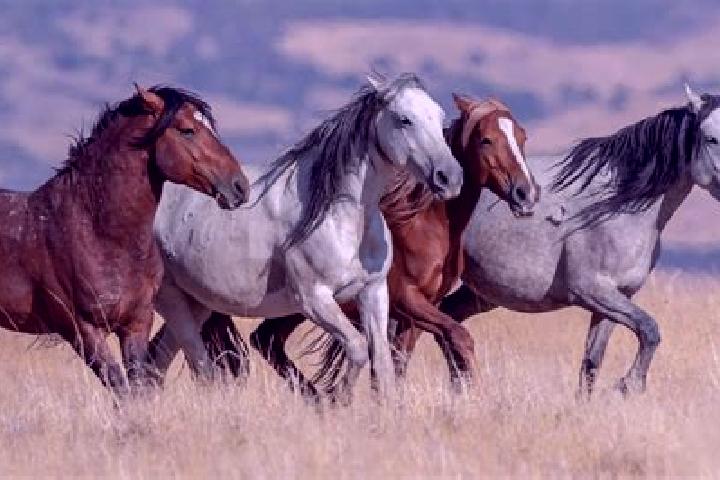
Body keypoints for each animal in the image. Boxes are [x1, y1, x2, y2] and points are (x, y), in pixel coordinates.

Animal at [0, 85, 248, 397]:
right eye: (187, 130)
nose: (240, 186)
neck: (98, 234)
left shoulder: (136, 324)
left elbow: (138, 387)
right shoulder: (83, 330)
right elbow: (121, 389)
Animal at [145, 73, 463, 401]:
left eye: (440, 118)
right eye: (404, 119)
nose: (449, 177)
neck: (342, 219)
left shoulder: (373, 292)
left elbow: (383, 364)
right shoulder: (314, 299)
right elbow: (358, 348)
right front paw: (337, 400)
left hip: (198, 302)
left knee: (157, 359)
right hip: (172, 299)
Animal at [237, 94, 539, 395]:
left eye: (522, 137)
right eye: (485, 140)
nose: (525, 194)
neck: (425, 226)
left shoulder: (418, 311)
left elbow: (398, 362)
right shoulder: (408, 298)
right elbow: (458, 336)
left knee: (266, 339)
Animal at [400, 84, 720, 397]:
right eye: (711, 138)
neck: (615, 206)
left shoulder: (615, 299)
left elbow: (592, 363)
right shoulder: (593, 291)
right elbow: (650, 330)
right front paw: (629, 385)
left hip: (479, 294)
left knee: (446, 324)